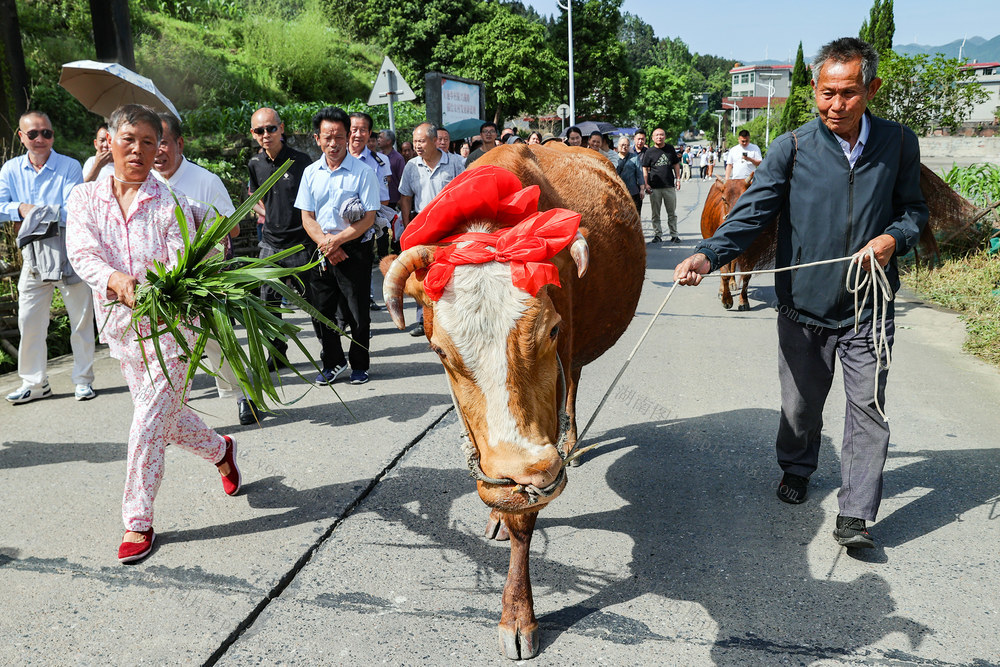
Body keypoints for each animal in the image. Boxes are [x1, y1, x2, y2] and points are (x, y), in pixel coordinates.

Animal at [378, 144, 644, 660]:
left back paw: (573, 441)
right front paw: (500, 513)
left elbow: (526, 522)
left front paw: (518, 616)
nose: (522, 471)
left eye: (551, 330)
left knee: (575, 381)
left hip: (576, 361)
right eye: (439, 351)